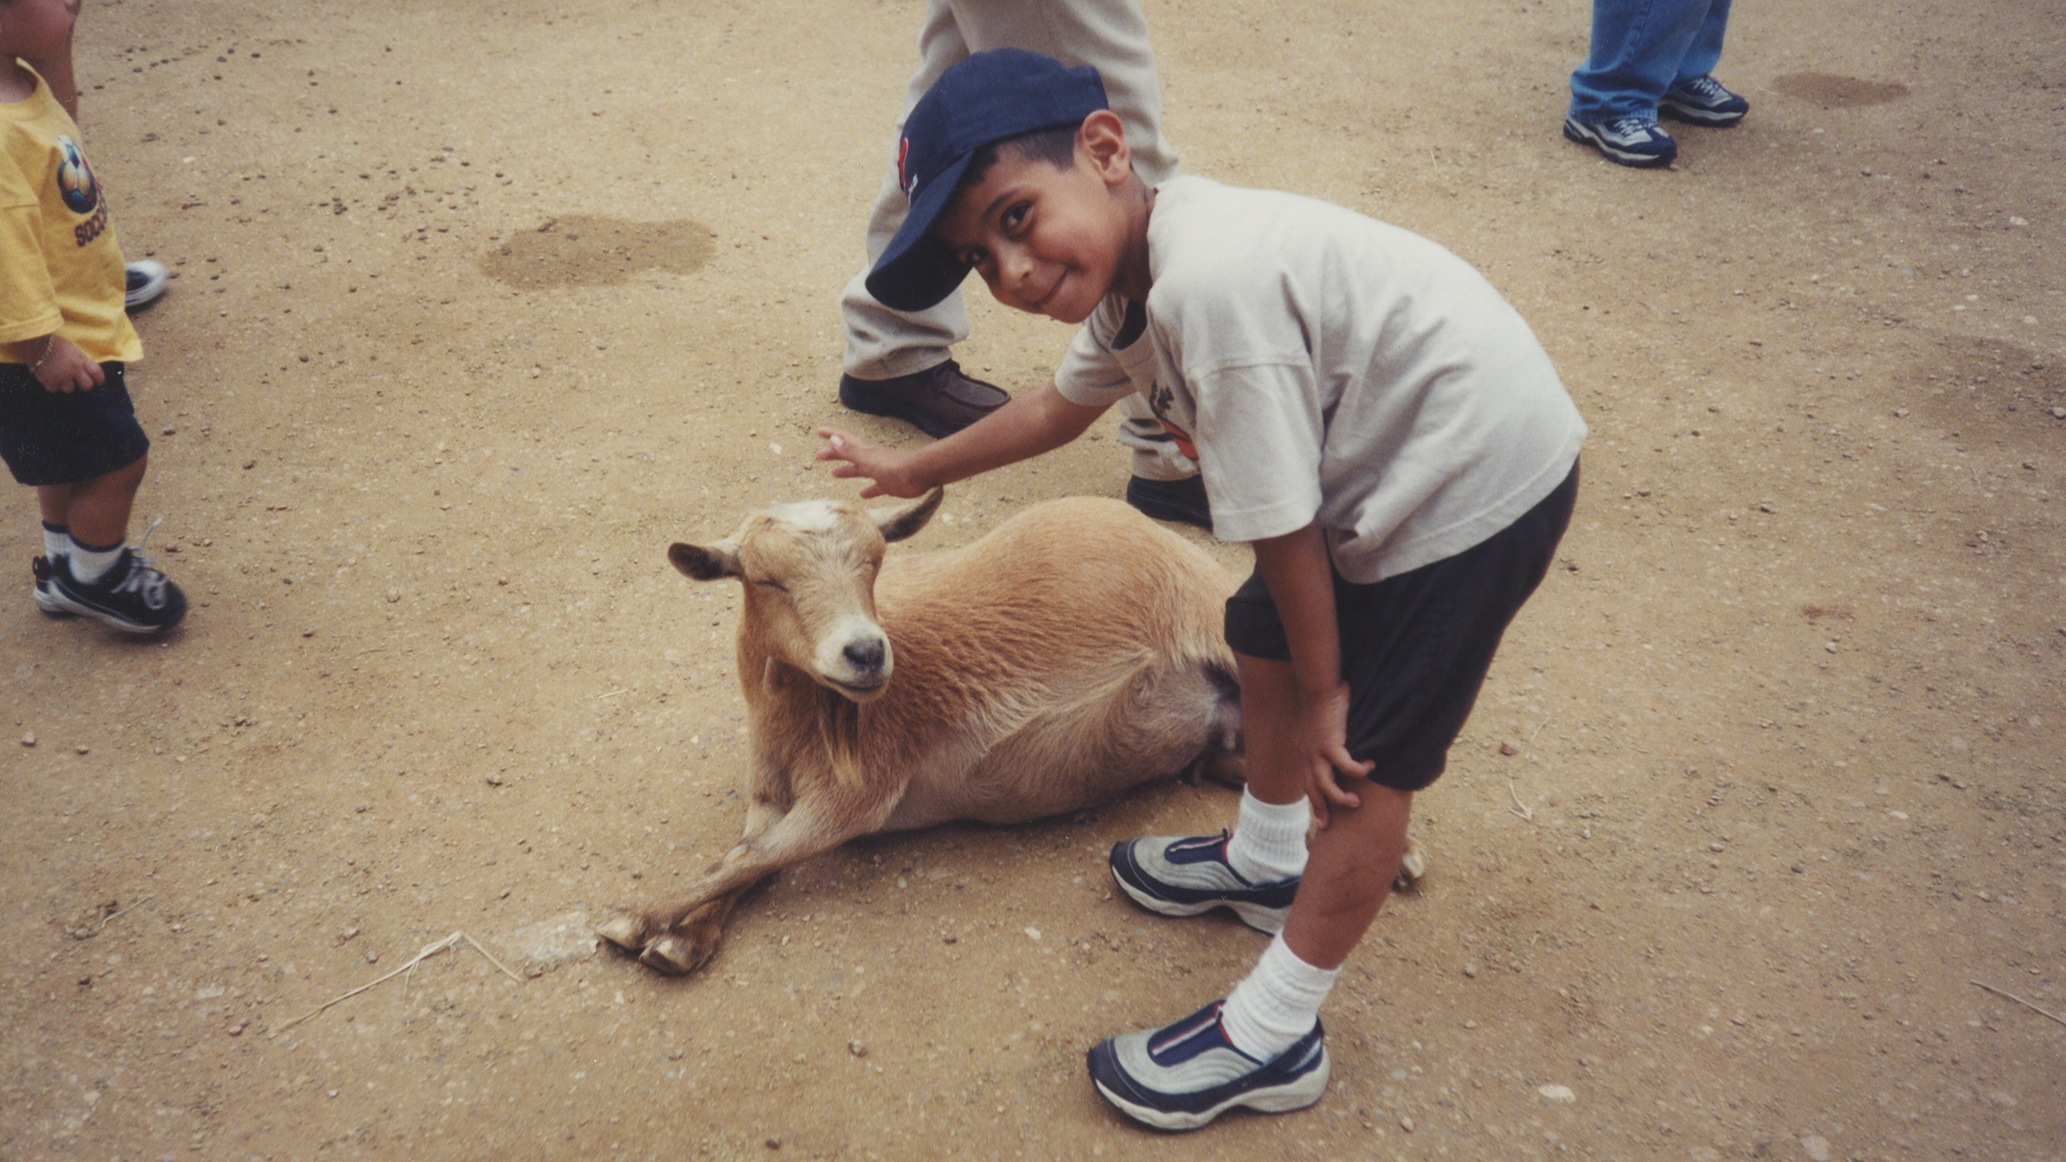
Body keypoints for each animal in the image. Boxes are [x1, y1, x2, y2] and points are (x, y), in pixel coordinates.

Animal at [598, 488, 1245, 975]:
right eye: (767, 580)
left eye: (876, 562)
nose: (865, 653)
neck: (803, 728)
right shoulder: (769, 793)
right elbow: (744, 854)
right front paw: (685, 936)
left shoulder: (860, 792)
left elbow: (759, 856)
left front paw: (636, 919)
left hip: (1222, 620)